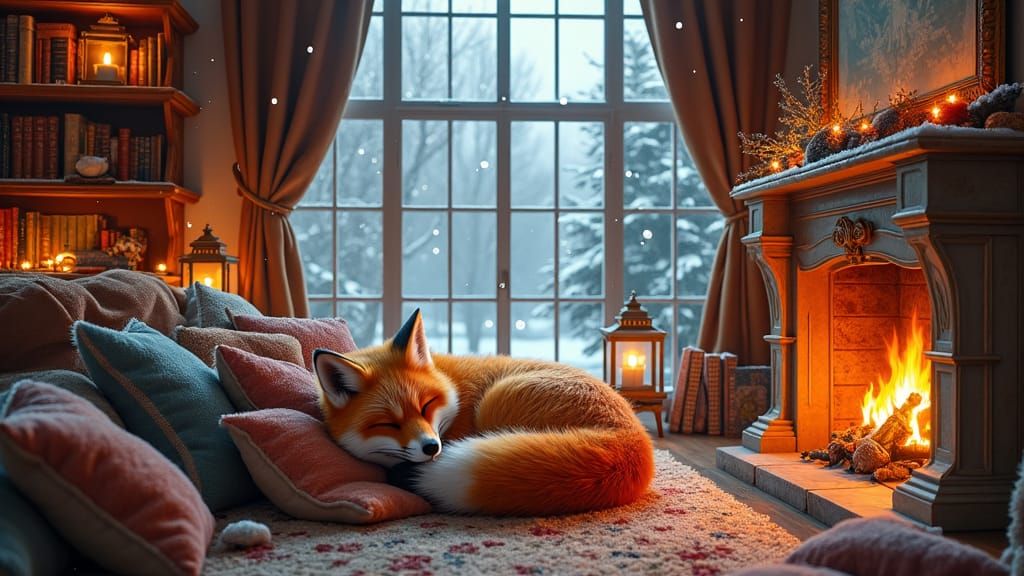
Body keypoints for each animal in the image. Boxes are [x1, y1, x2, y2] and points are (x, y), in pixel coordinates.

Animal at [313, 309, 655, 517]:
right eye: (387, 424)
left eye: (426, 405)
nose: (432, 447)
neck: (454, 390)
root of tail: (634, 435)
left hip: (495, 398)